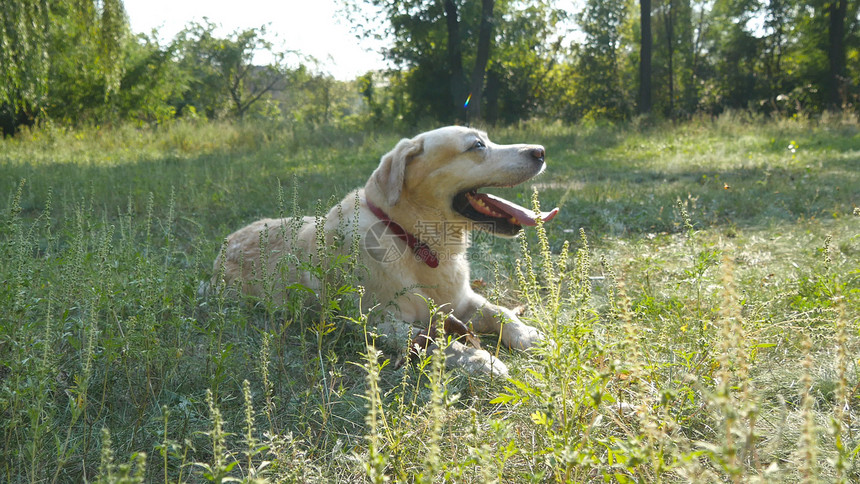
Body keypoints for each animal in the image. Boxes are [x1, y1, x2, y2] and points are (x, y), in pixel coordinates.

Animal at [208, 125, 556, 374]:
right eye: (477, 145)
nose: (540, 151)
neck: (415, 242)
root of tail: (226, 242)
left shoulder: (462, 301)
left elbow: (500, 312)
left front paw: (529, 335)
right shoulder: (378, 323)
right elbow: (429, 340)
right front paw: (478, 359)